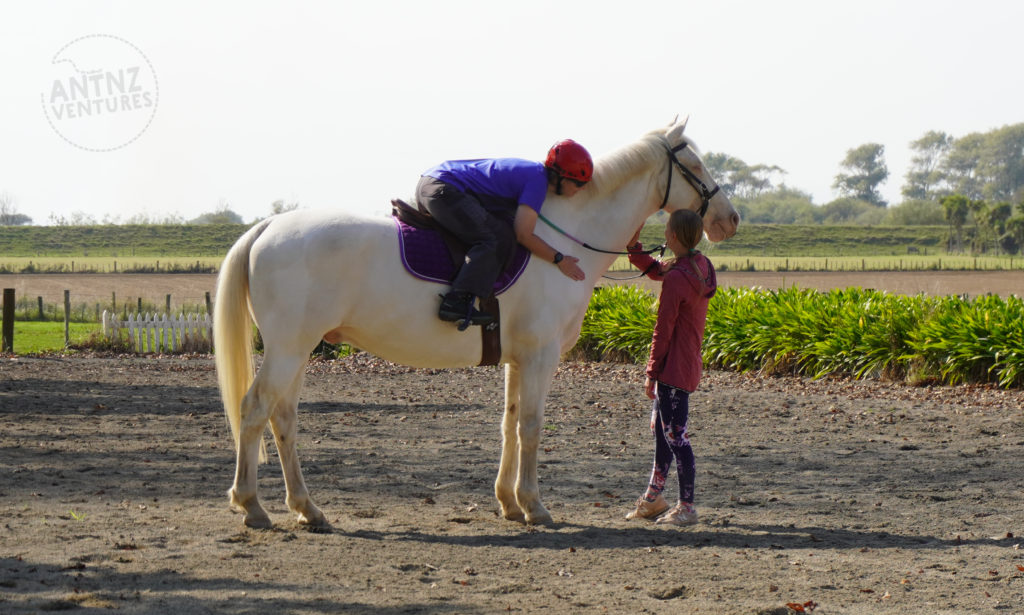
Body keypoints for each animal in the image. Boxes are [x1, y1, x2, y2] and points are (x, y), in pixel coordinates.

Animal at [214, 117, 740, 528]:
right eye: (695, 166)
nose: (730, 219)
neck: (564, 237)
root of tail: (269, 227)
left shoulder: (517, 360)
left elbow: (509, 424)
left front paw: (509, 503)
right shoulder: (541, 357)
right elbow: (531, 426)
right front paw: (534, 506)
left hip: (298, 351)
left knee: (282, 418)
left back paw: (307, 508)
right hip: (288, 351)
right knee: (255, 410)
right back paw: (251, 504)